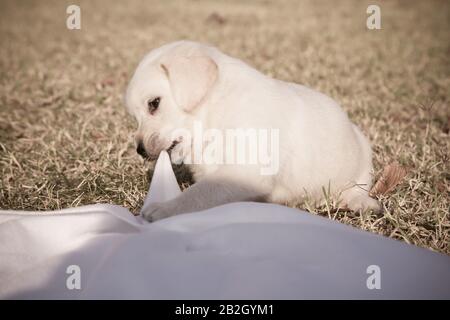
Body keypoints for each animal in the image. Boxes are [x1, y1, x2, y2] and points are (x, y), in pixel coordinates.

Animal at [125, 40, 382, 221]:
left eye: (154, 103)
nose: (139, 150)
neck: (214, 109)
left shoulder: (246, 171)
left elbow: (198, 193)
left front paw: (163, 208)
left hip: (363, 159)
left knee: (358, 187)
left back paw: (360, 202)